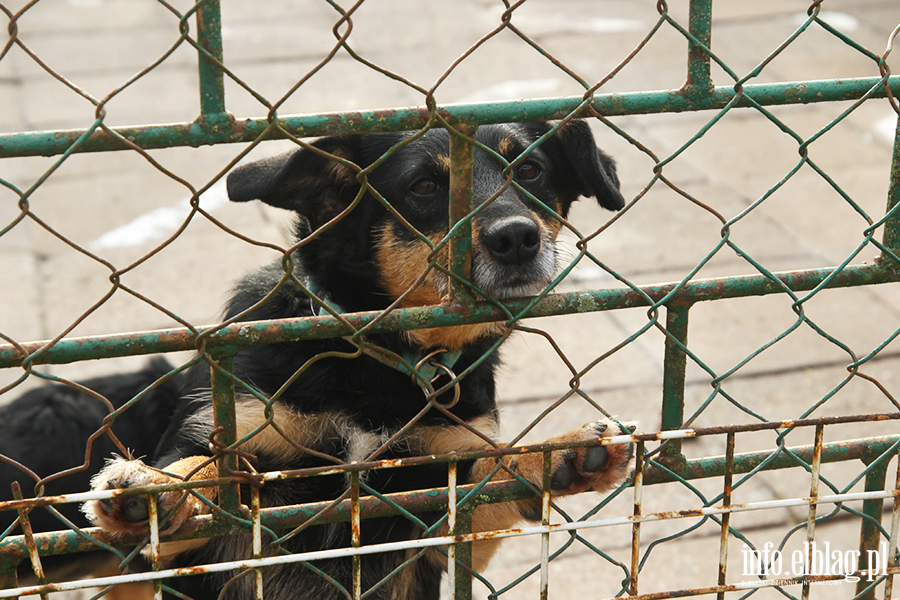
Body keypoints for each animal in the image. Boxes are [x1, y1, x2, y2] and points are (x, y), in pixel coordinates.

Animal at [77, 119, 636, 596]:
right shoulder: (170, 545)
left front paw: (557, 453)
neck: (381, 357)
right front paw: (155, 486)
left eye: (530, 170)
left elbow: (493, 474)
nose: (518, 237)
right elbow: (204, 468)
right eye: (424, 187)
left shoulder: (440, 518)